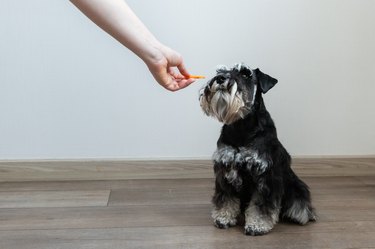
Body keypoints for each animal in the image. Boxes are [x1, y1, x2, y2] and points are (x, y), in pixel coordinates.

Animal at [200, 63, 318, 234]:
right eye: (221, 70)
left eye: (245, 74)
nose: (221, 78)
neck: (242, 127)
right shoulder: (225, 168)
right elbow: (226, 198)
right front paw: (223, 217)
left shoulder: (265, 175)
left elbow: (260, 204)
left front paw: (257, 225)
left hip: (296, 187)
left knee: (301, 205)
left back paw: (303, 215)